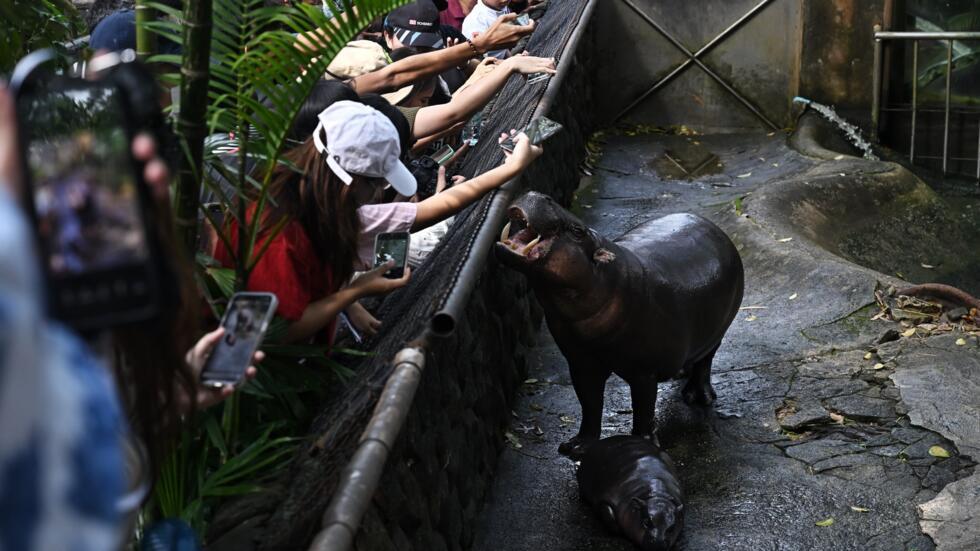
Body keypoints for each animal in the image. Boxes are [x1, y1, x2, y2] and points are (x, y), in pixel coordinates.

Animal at [498, 192, 744, 460]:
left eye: (578, 230)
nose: (538, 194)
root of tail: (716, 228)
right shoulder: (581, 363)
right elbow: (589, 404)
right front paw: (575, 447)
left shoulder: (644, 371)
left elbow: (643, 409)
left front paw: (643, 444)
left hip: (718, 332)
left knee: (705, 362)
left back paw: (698, 397)